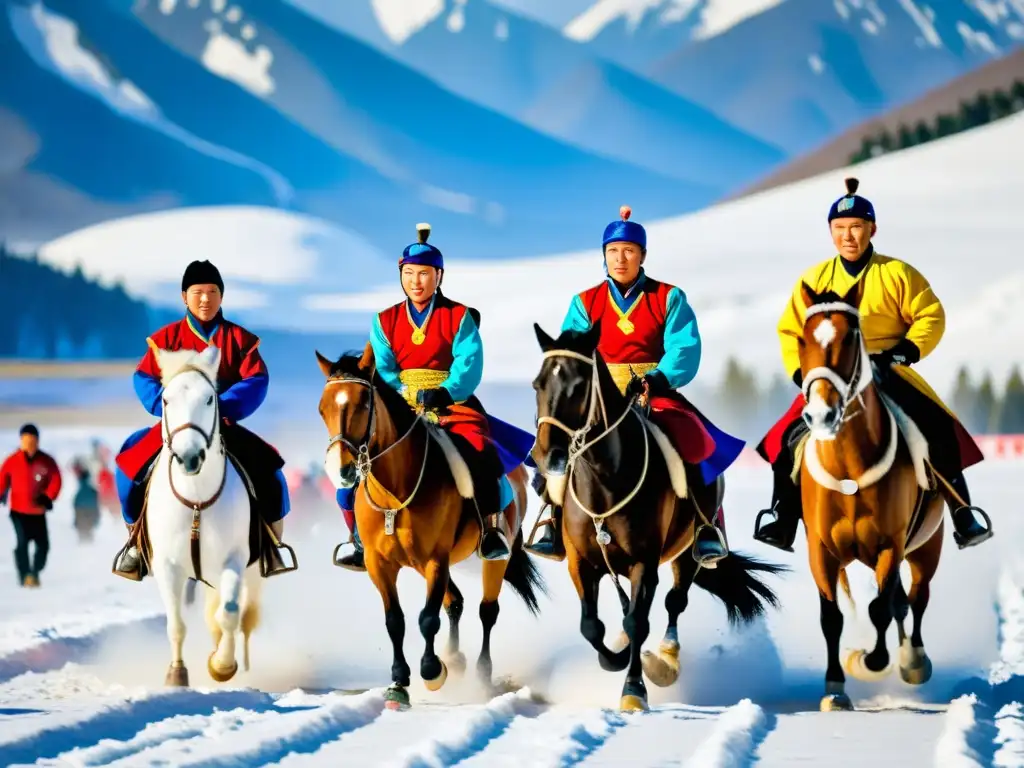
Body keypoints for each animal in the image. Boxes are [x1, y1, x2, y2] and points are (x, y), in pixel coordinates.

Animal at [146, 346, 262, 688]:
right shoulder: (167, 565)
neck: (196, 499)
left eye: (211, 398)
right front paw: (176, 675)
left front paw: (221, 665)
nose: (189, 457)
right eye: (165, 400)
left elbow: (230, 612)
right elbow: (176, 624)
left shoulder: (234, 558)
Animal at [315, 346, 548, 712]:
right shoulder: (380, 565)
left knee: (486, 611)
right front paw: (399, 683)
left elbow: (427, 618)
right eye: (322, 408)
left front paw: (431, 671)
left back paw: (480, 673)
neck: (396, 491)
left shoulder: (435, 560)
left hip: (493, 556)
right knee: (455, 603)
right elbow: (395, 621)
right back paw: (454, 658)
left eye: (363, 403)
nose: (341, 470)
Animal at [532, 325, 778, 716]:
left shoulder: (644, 563)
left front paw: (634, 688)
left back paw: (665, 659)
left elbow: (638, 621)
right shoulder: (580, 561)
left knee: (674, 603)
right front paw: (615, 658)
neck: (605, 480)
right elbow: (592, 627)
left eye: (580, 385)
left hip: (688, 553)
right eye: (538, 384)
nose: (547, 455)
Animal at [790, 284, 942, 716]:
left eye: (849, 338)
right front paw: (835, 689)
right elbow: (831, 617)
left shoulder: (891, 545)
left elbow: (880, 608)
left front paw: (869, 660)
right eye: (803, 339)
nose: (821, 415)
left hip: (928, 546)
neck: (850, 473)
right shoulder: (821, 550)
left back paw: (914, 661)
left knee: (916, 598)